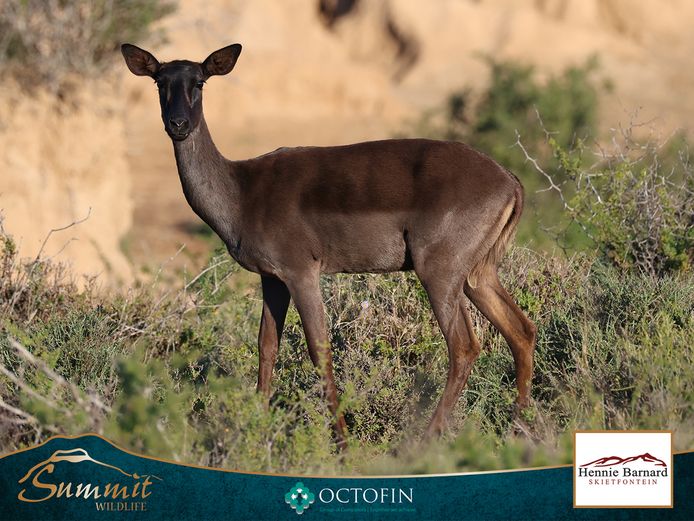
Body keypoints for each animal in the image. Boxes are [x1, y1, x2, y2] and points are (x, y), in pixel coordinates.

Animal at [121, 43, 536, 450]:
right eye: (160, 81)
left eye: (200, 81)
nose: (178, 124)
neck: (242, 192)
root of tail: (510, 180)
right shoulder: (272, 280)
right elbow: (267, 346)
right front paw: (253, 432)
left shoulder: (302, 273)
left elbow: (319, 349)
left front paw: (341, 444)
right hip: (477, 275)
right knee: (522, 330)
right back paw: (515, 430)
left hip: (440, 273)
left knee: (465, 345)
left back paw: (421, 443)